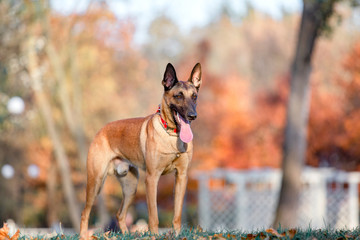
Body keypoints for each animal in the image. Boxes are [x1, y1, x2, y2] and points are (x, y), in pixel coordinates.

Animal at [80, 62, 201, 238]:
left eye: (194, 96)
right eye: (178, 95)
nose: (193, 115)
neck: (172, 135)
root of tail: (101, 130)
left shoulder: (181, 177)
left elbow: (177, 214)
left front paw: (178, 236)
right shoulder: (152, 178)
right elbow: (154, 216)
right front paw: (155, 236)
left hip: (131, 188)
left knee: (120, 214)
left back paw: (126, 235)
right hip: (96, 181)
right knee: (85, 212)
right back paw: (83, 235)